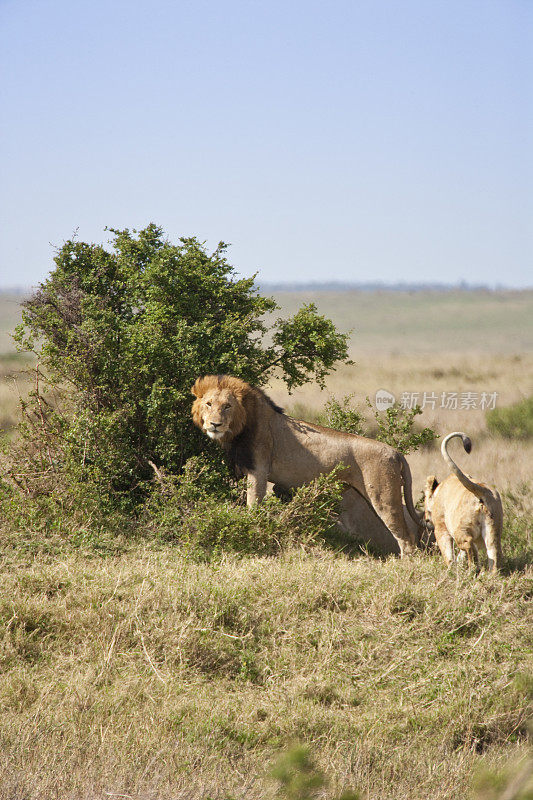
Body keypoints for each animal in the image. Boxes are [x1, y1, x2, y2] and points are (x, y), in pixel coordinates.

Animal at [189, 376, 422, 556]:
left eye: (227, 406)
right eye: (209, 404)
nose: (215, 424)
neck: (241, 426)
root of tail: (396, 452)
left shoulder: (258, 470)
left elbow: (253, 504)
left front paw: (250, 528)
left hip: (383, 496)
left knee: (406, 538)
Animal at [422, 432, 500, 568]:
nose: (426, 519)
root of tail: (482, 490)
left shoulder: (441, 527)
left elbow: (447, 553)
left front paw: (450, 569)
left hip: (460, 528)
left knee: (468, 545)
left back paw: (473, 569)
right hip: (493, 530)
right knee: (493, 554)